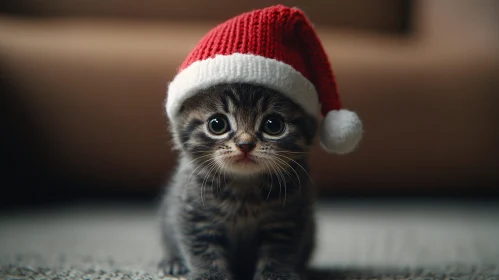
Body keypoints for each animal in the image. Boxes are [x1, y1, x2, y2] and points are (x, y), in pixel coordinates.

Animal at [161, 83, 320, 280]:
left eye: (273, 125)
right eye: (217, 124)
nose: (245, 144)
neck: (244, 186)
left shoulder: (287, 218)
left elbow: (279, 252)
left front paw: (275, 274)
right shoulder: (194, 214)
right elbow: (202, 250)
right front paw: (210, 274)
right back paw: (173, 263)